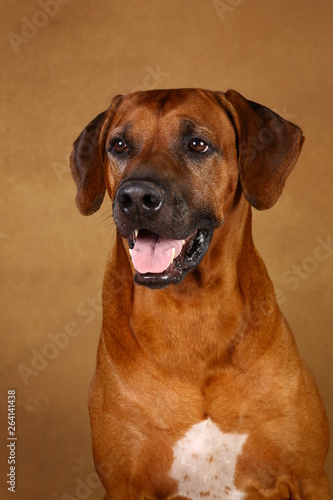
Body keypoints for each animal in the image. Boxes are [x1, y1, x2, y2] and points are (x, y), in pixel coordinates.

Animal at [70, 90, 330, 500]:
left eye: (197, 145)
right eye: (119, 145)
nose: (136, 197)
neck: (192, 310)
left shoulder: (309, 476)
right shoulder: (124, 483)